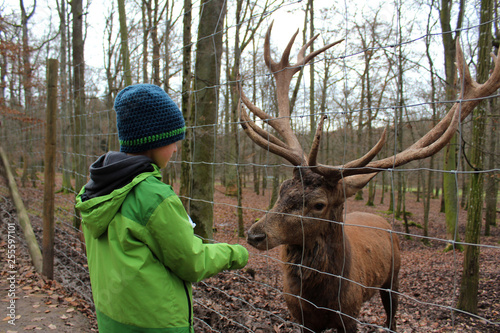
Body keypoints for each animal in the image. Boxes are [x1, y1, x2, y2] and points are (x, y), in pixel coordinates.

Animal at [237, 23, 500, 332]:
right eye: (281, 189)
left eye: (319, 204)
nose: (255, 234)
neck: (320, 300)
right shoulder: (299, 316)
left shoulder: (350, 314)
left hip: (394, 277)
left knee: (392, 317)